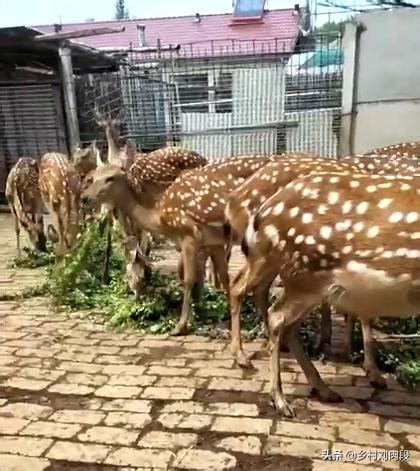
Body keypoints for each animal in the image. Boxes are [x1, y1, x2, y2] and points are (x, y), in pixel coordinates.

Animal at [241, 170, 420, 416]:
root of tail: (263, 212)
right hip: (305, 274)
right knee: (276, 316)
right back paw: (281, 401)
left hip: (308, 283)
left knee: (286, 323)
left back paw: (325, 390)